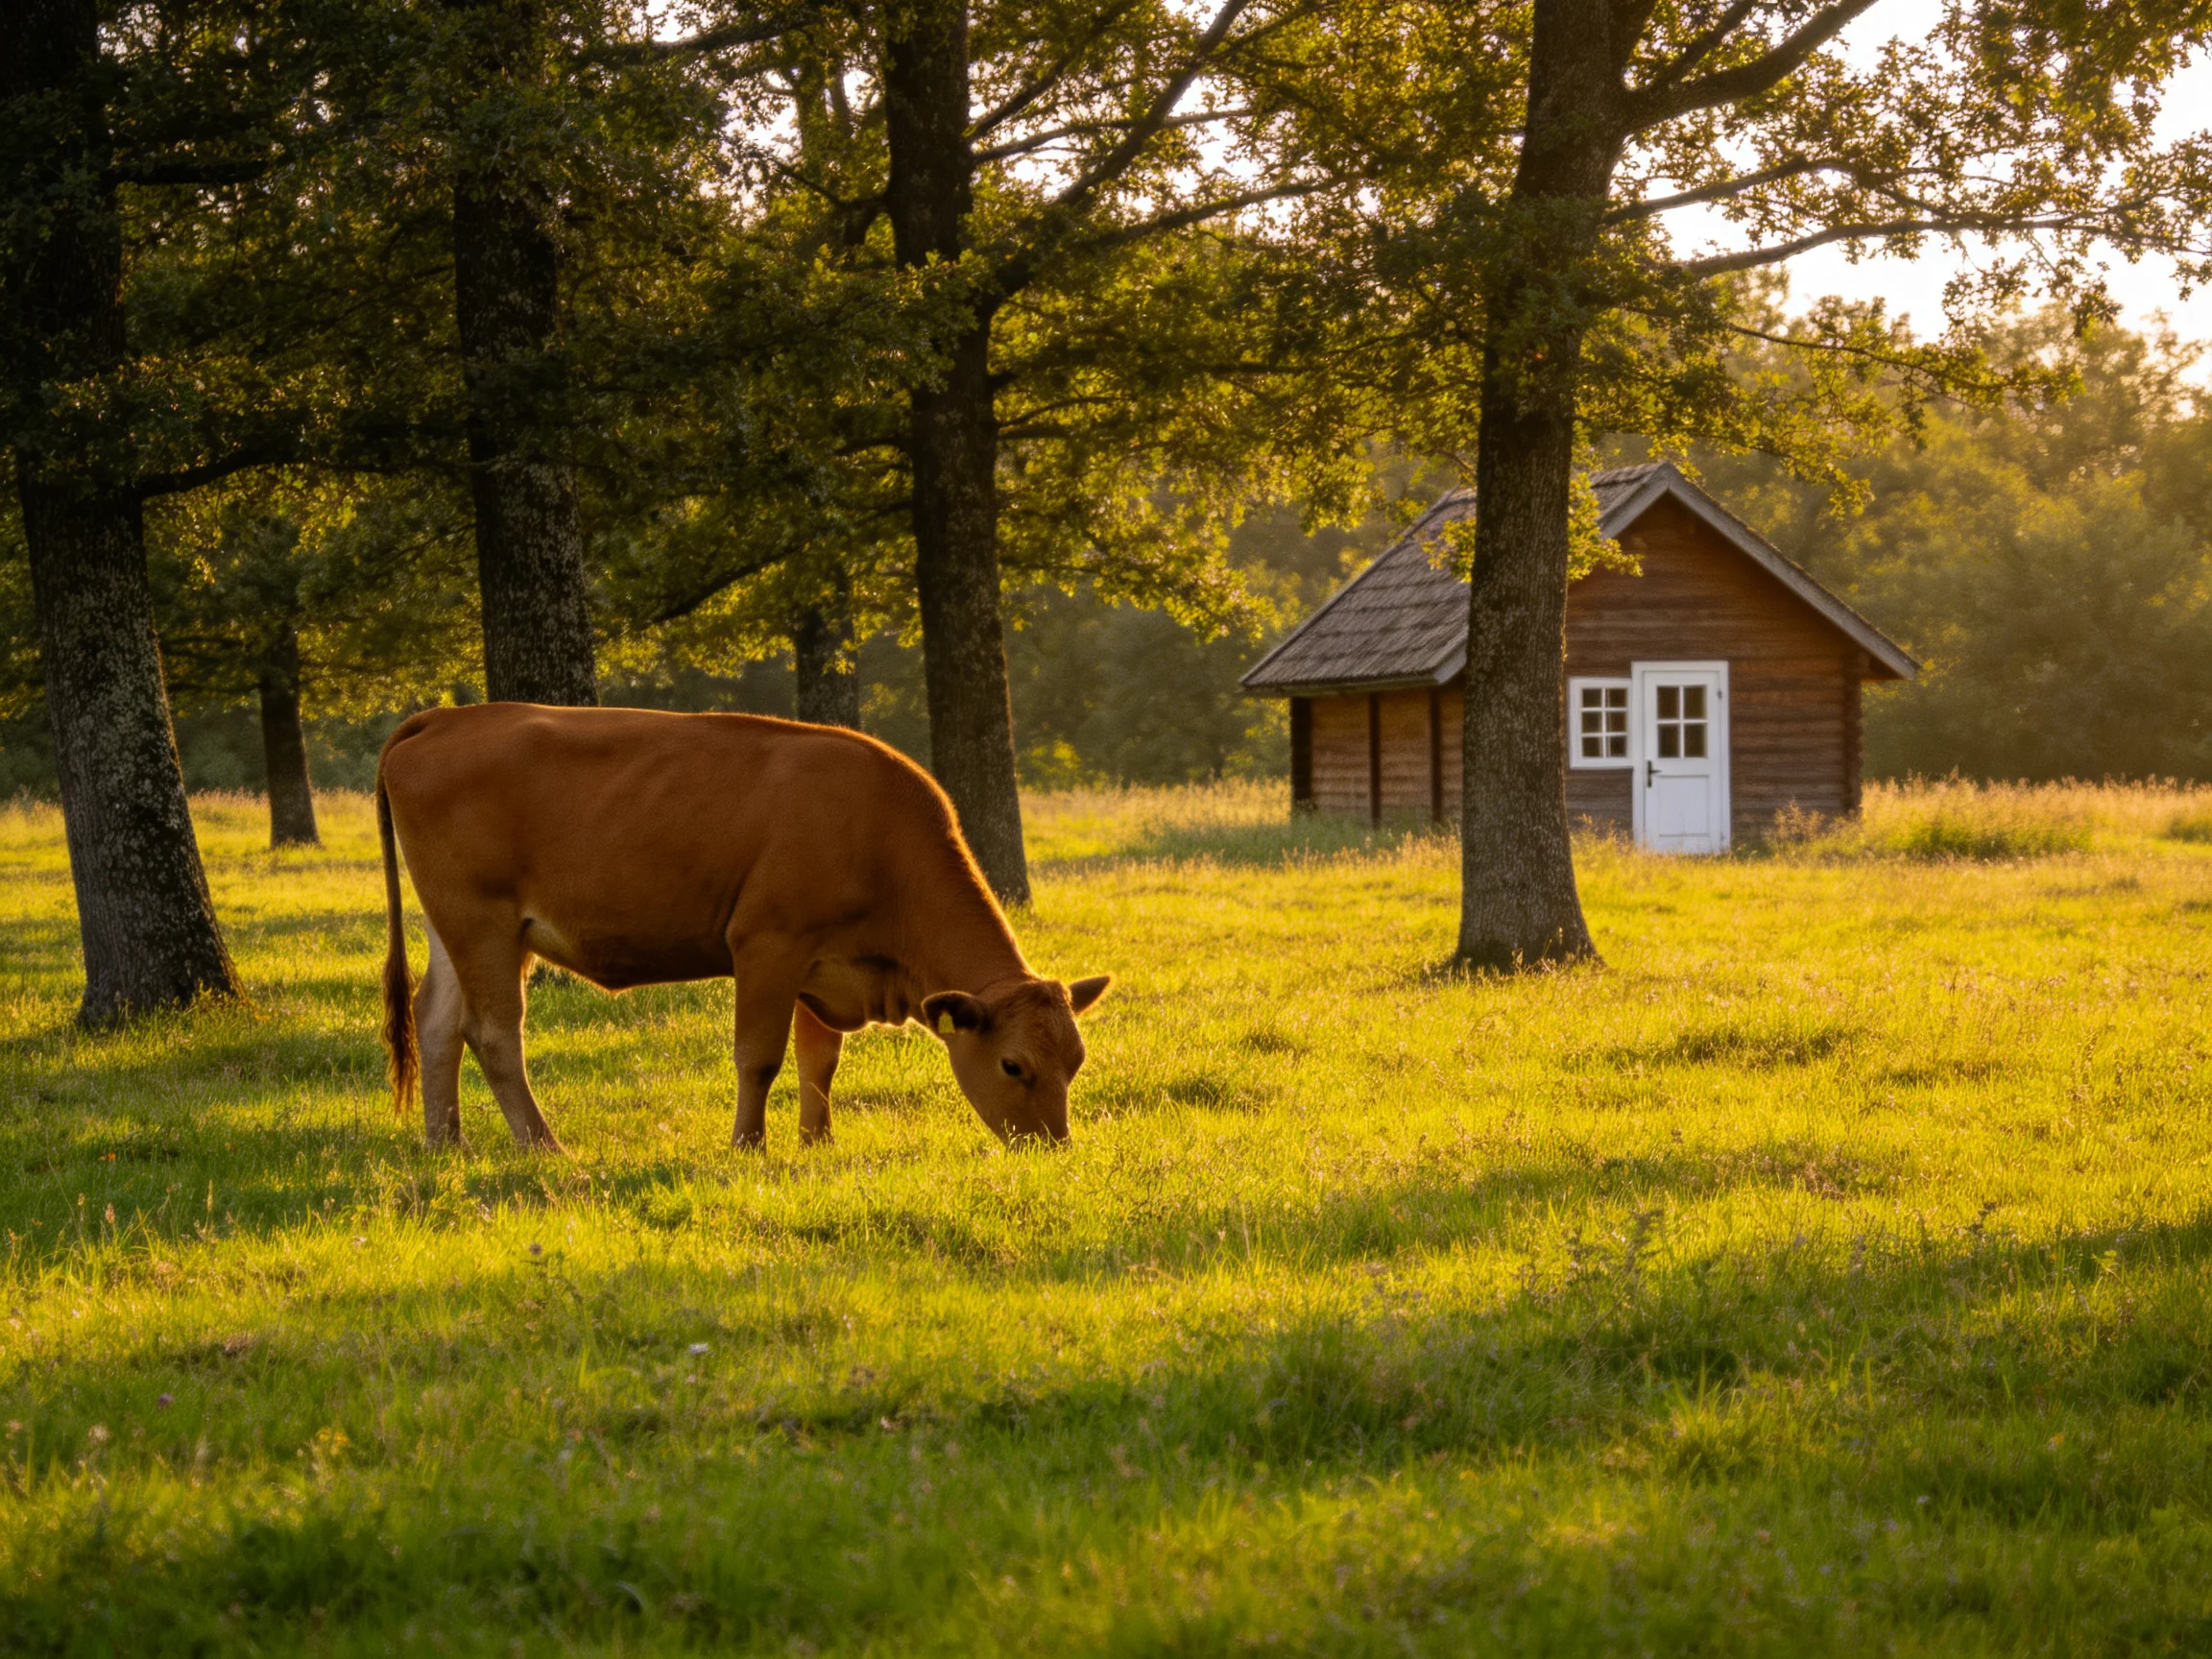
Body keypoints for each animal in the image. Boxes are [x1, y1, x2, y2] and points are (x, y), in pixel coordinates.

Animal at [374, 703, 1109, 1152]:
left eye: (1075, 1061)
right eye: (1013, 1064)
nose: (1052, 1146)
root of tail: (449, 716)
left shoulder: (823, 965)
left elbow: (820, 1060)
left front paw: (817, 1142)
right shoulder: (768, 946)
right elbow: (760, 1057)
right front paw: (748, 1145)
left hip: (454, 928)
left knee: (437, 1022)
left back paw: (447, 1143)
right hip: (483, 923)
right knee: (494, 1032)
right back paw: (545, 1147)